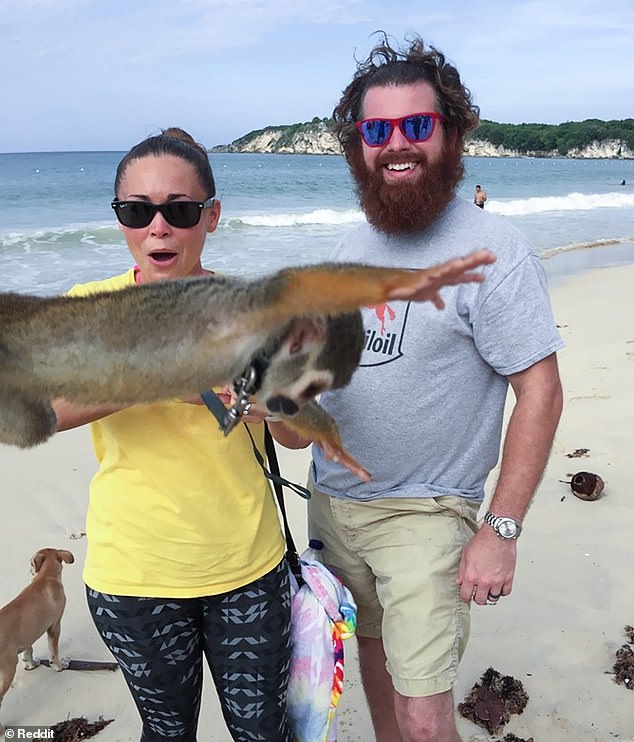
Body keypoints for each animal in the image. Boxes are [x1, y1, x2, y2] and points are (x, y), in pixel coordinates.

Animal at [0, 250, 494, 464]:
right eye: (314, 385)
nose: (289, 404)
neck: (263, 344)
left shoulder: (252, 377)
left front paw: (332, 441)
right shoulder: (256, 309)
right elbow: (296, 282)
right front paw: (414, 280)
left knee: (36, 424)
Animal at [0, 548, 74, 732]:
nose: (30, 571)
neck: (45, 577)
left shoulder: (28, 634)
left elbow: (29, 650)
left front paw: (30, 664)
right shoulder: (55, 625)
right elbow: (54, 651)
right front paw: (59, 665)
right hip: (7, 670)